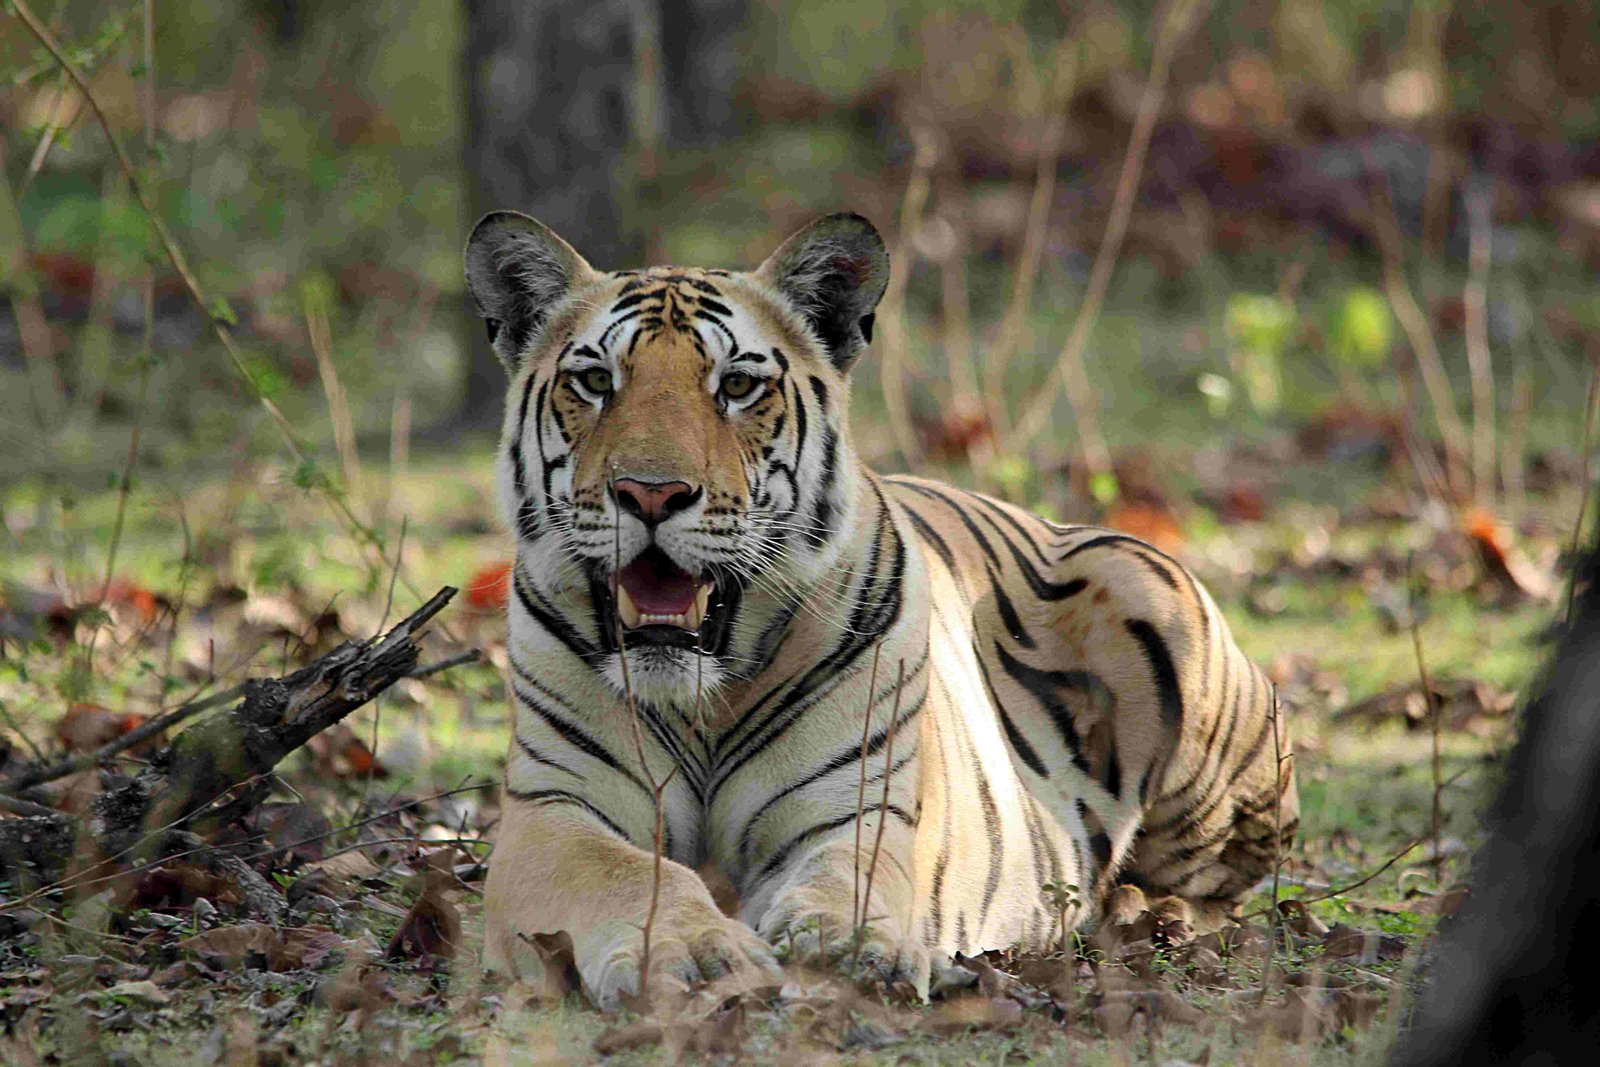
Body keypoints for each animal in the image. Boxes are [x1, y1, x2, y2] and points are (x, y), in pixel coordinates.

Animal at [467, 210, 1297, 1009]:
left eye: (736, 385)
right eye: (594, 380)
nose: (649, 492)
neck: (701, 699)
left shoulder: (859, 805)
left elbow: (848, 874)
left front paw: (845, 943)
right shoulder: (553, 810)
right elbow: (629, 873)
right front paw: (694, 954)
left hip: (1155, 610)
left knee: (1222, 887)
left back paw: (1145, 914)